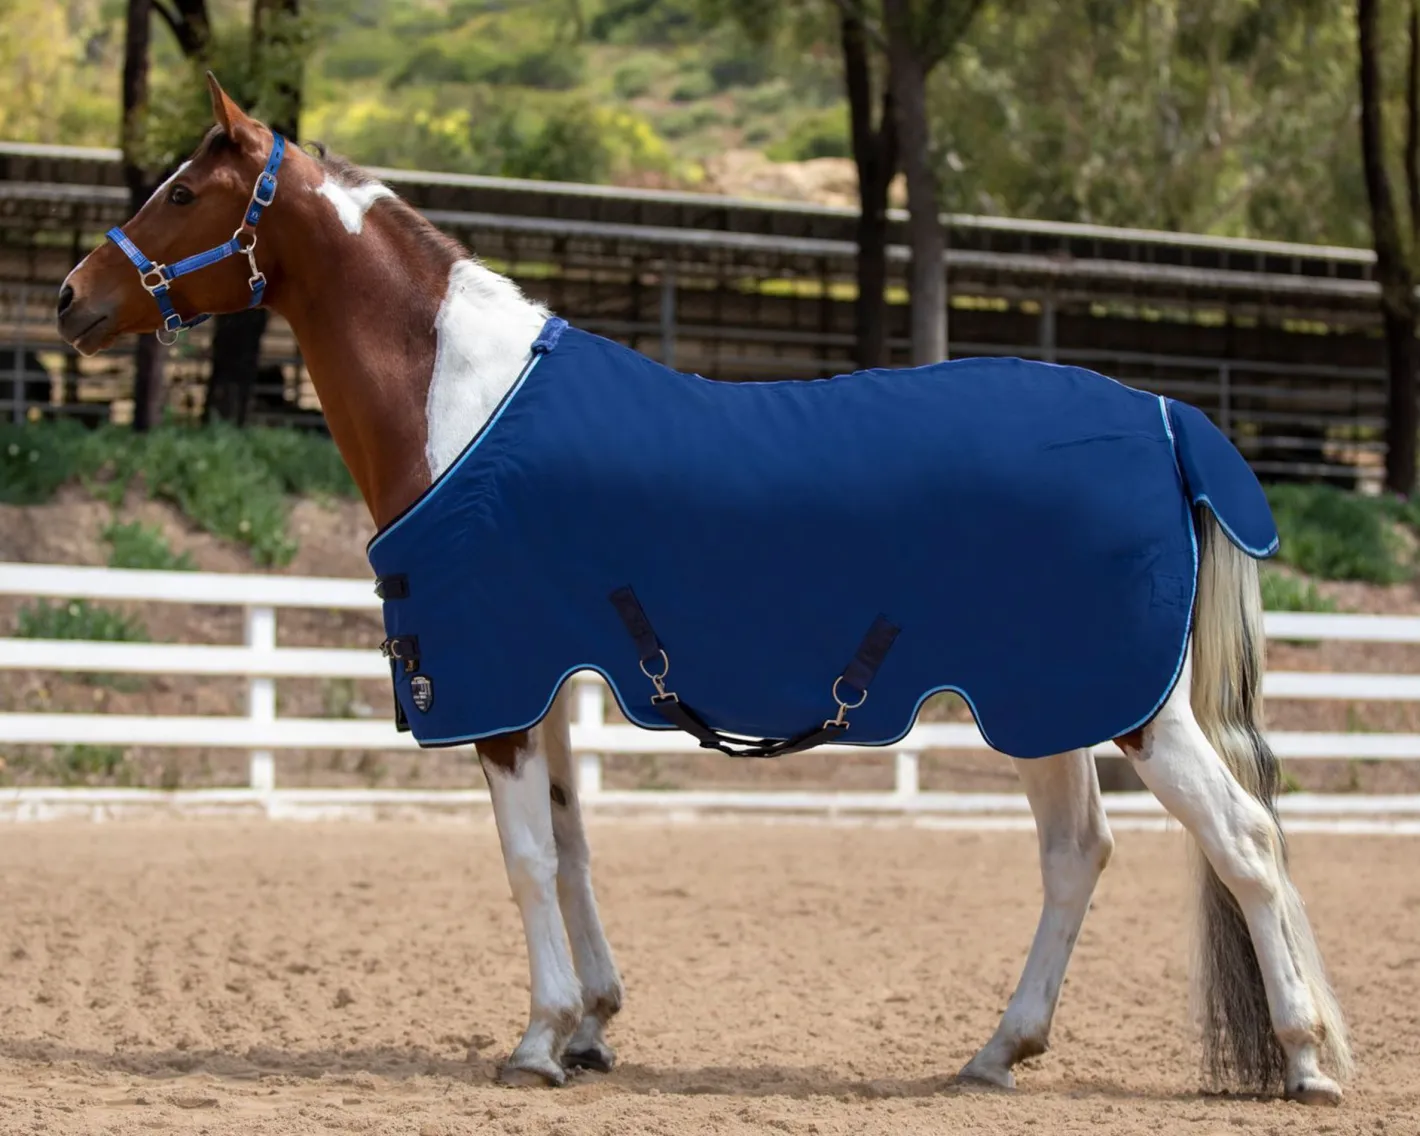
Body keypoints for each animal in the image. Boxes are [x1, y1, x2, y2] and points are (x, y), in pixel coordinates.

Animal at [56, 74, 1352, 1105]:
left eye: (183, 193)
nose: (72, 297)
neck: (464, 401)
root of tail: (1164, 416)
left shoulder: (498, 682)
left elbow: (525, 858)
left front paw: (537, 1037)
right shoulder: (552, 676)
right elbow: (573, 845)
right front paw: (590, 1023)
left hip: (1126, 704)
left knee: (1242, 839)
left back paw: (1303, 1057)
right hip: (1048, 705)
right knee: (1078, 853)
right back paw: (998, 1050)